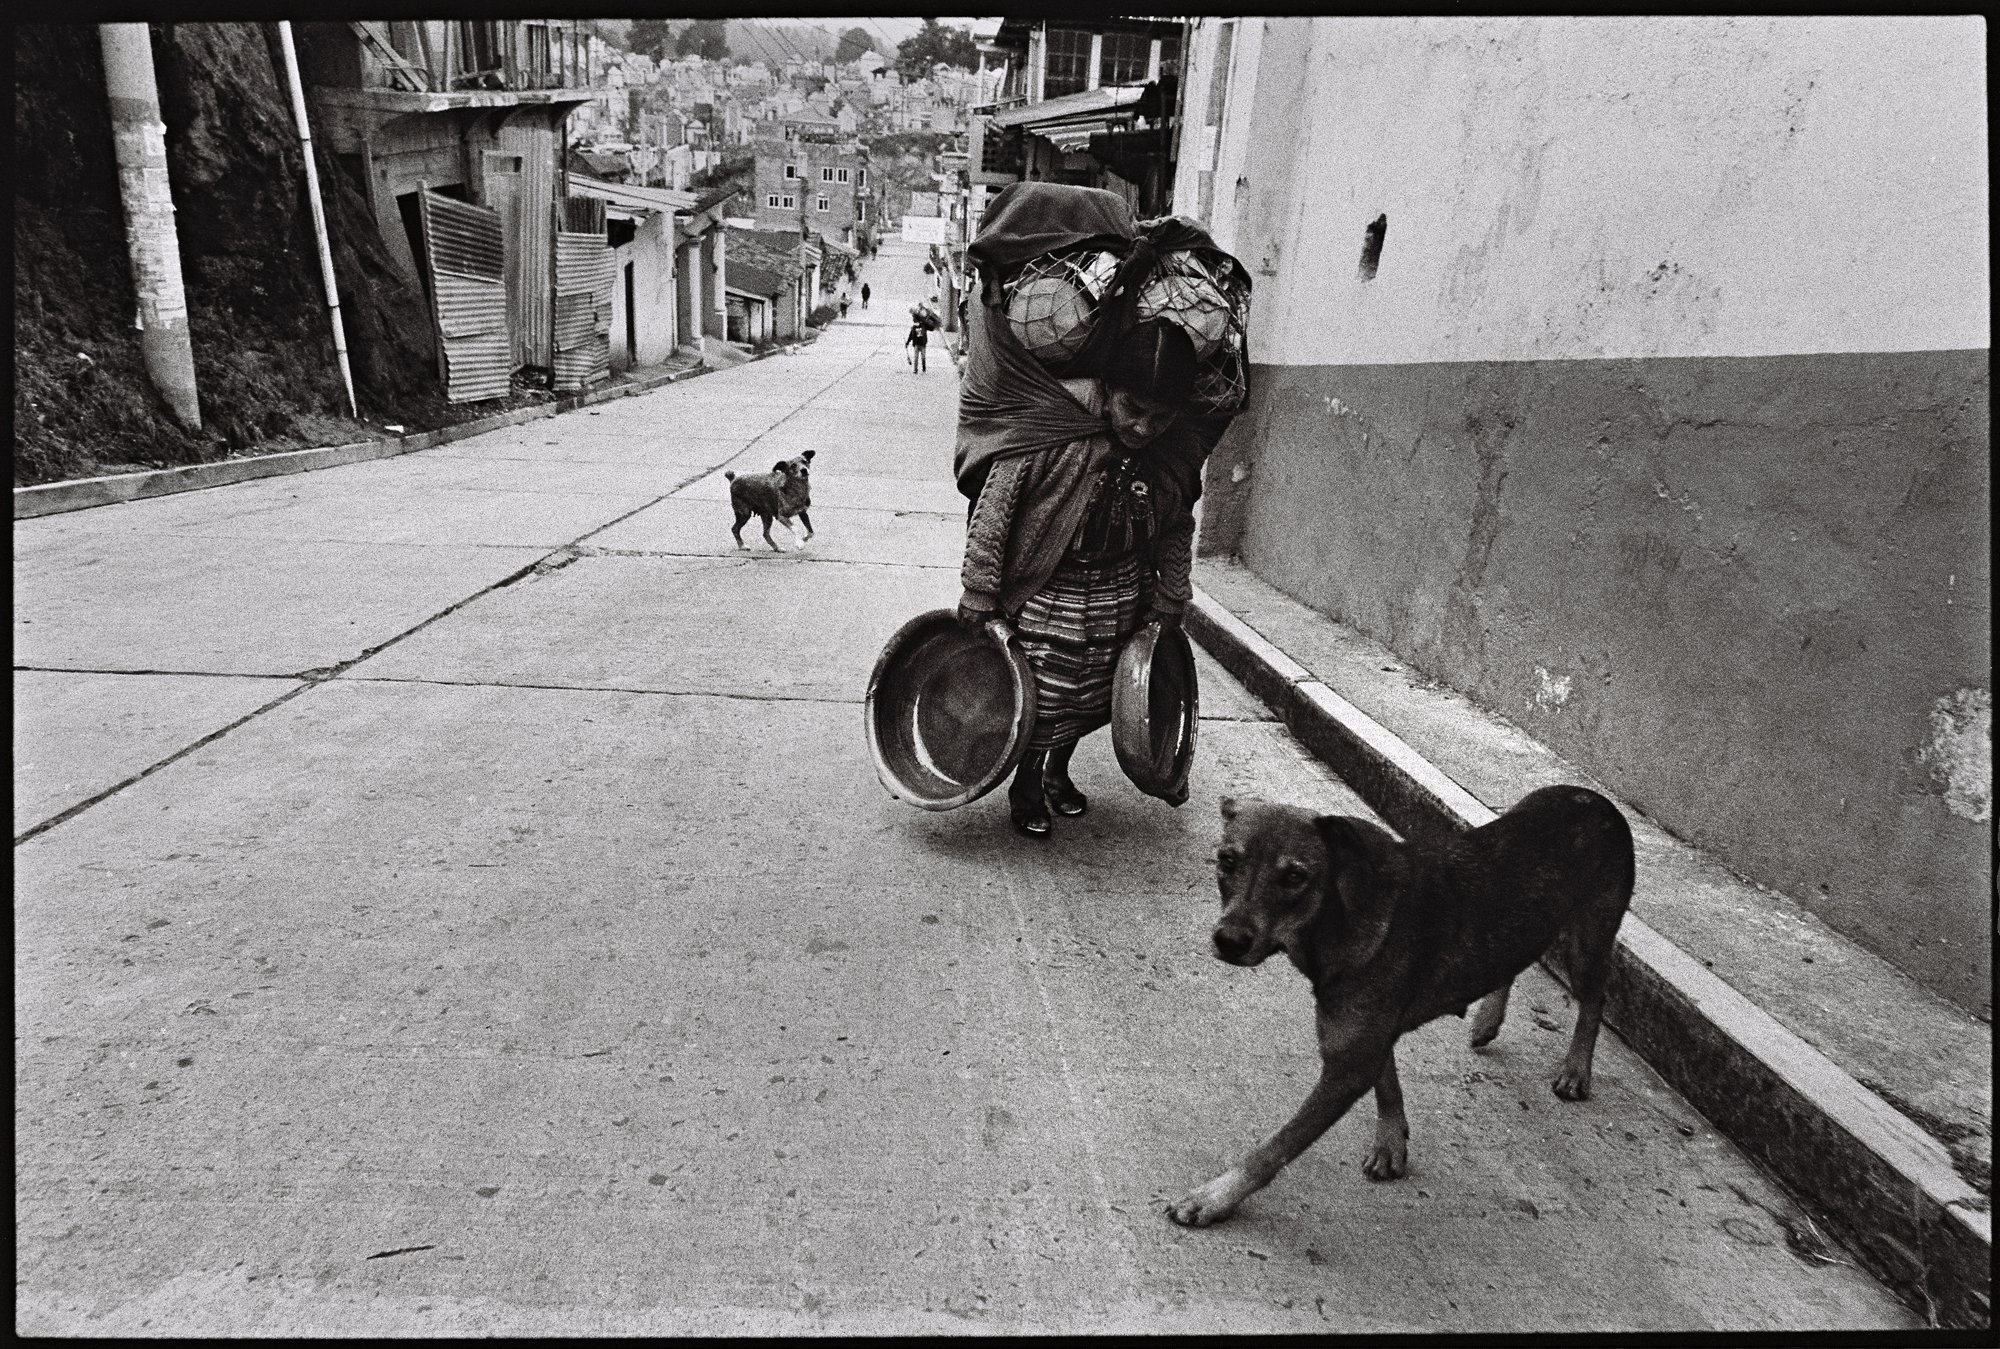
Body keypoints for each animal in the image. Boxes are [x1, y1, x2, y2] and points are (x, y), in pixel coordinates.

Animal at [1168, 784, 1632, 1224]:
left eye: (1295, 876)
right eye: (1227, 861)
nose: (1229, 941)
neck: (1338, 916)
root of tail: (1597, 800)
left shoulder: (1347, 1066)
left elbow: (1275, 1147)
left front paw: (1215, 1197)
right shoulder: (1366, 1038)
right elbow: (1387, 1083)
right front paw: (1391, 1141)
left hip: (1587, 941)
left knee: (1595, 999)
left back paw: (1576, 1069)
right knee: (1515, 961)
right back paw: (1488, 1019)